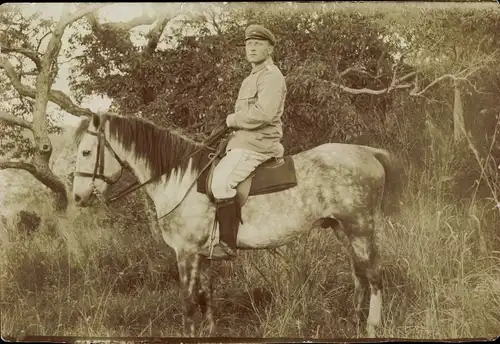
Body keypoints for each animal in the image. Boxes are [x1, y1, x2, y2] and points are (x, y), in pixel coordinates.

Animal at [72, 111, 404, 338]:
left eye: (86, 152)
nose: (77, 197)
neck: (181, 179)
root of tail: (368, 152)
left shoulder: (186, 253)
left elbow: (189, 301)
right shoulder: (202, 254)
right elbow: (205, 294)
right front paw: (209, 331)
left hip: (360, 229)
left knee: (374, 276)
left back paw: (371, 326)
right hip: (342, 229)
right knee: (359, 274)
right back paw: (355, 321)